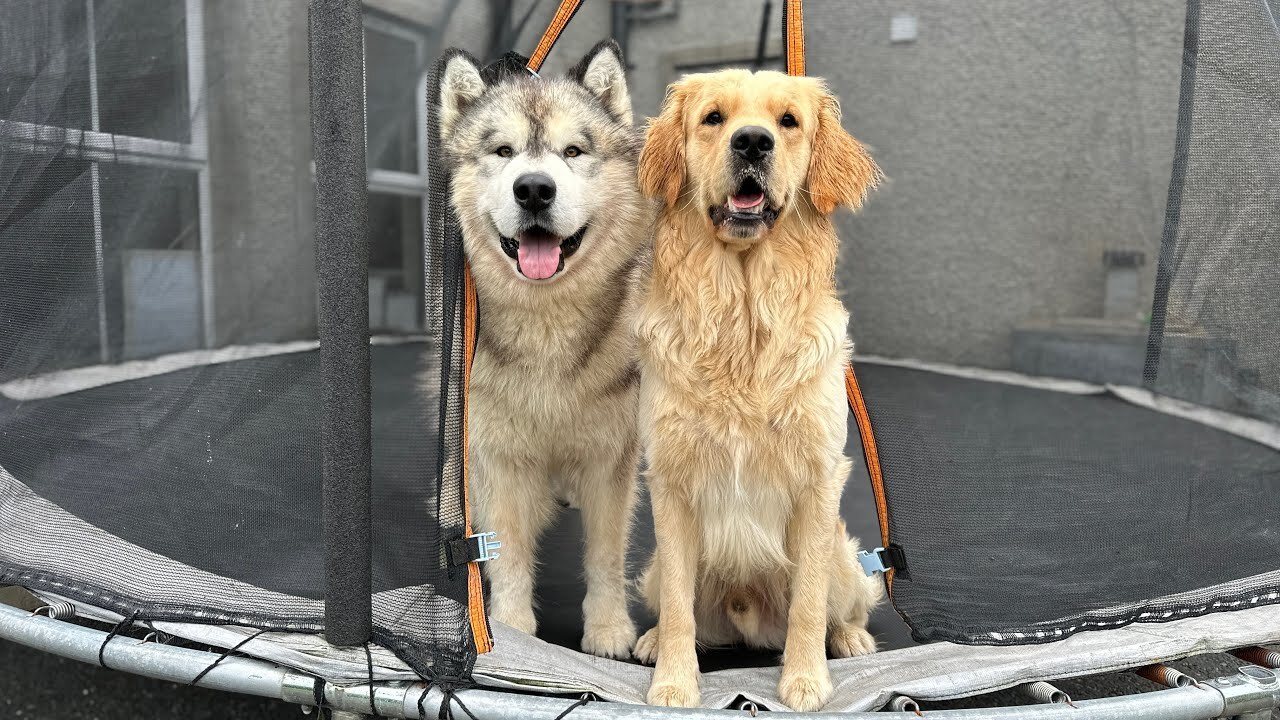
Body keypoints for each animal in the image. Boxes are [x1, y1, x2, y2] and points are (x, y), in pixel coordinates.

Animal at [435, 40, 650, 655]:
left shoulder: (611, 459)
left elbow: (605, 553)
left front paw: (608, 628)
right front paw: (511, 630)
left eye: (573, 150)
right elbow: (506, 549)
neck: (547, 327)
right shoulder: (501, 455)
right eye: (503, 151)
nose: (533, 188)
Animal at [634, 70, 885, 707]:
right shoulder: (671, 482)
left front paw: (805, 679)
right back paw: (650, 641)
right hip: (653, 566)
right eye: (713, 118)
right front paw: (673, 681)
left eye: (788, 121)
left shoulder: (818, 478)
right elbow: (679, 609)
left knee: (840, 606)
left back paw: (850, 638)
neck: (744, 316)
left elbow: (808, 604)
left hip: (848, 558)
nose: (752, 142)